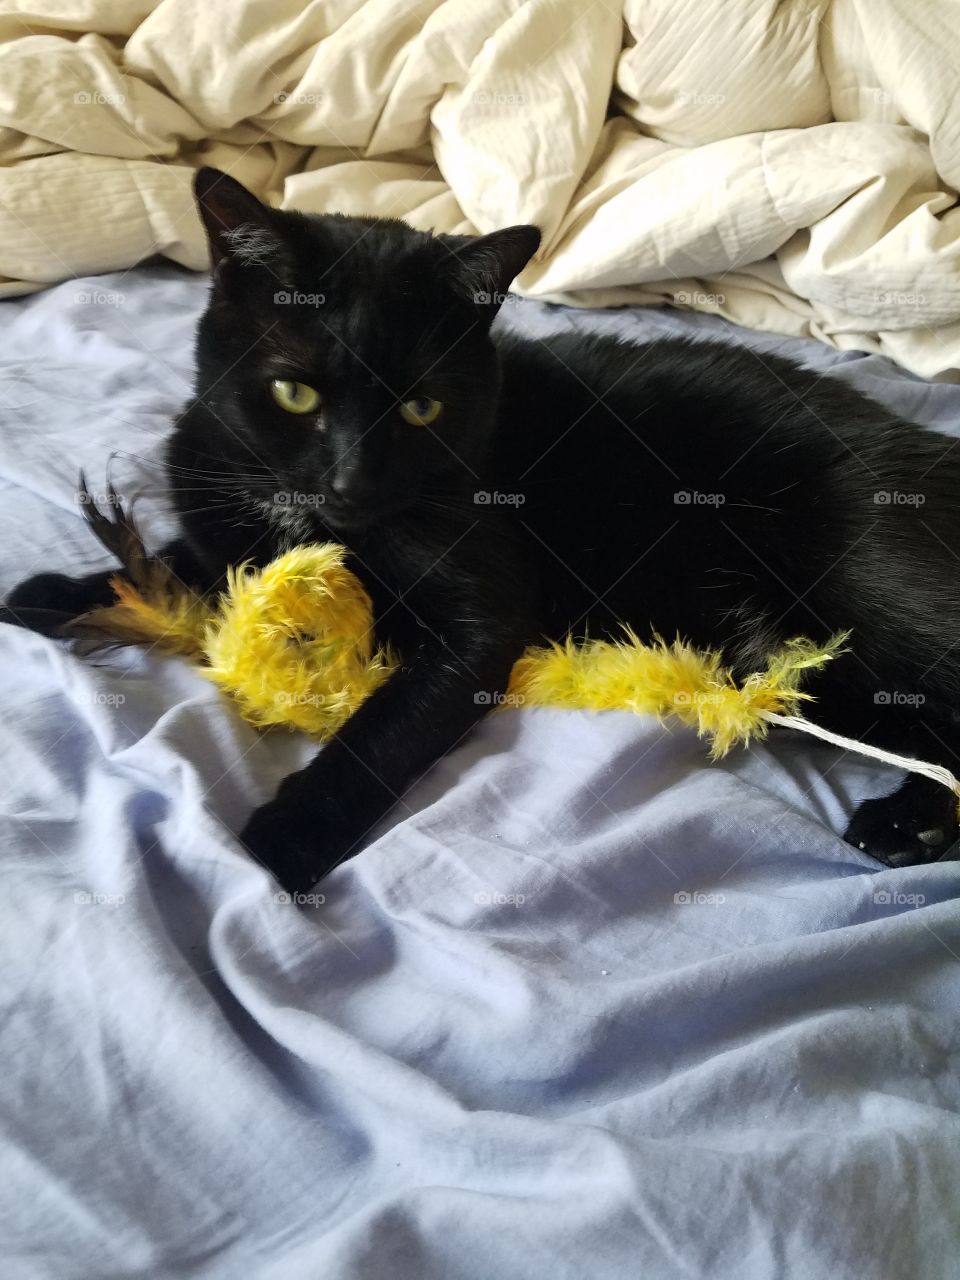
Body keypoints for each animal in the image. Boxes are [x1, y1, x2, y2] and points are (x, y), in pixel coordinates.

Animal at [7, 165, 960, 890]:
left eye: (422, 409)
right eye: (294, 392)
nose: (349, 480)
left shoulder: (480, 618)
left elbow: (380, 733)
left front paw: (288, 836)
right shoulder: (224, 536)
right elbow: (176, 562)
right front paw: (56, 593)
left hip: (865, 587)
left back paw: (906, 826)